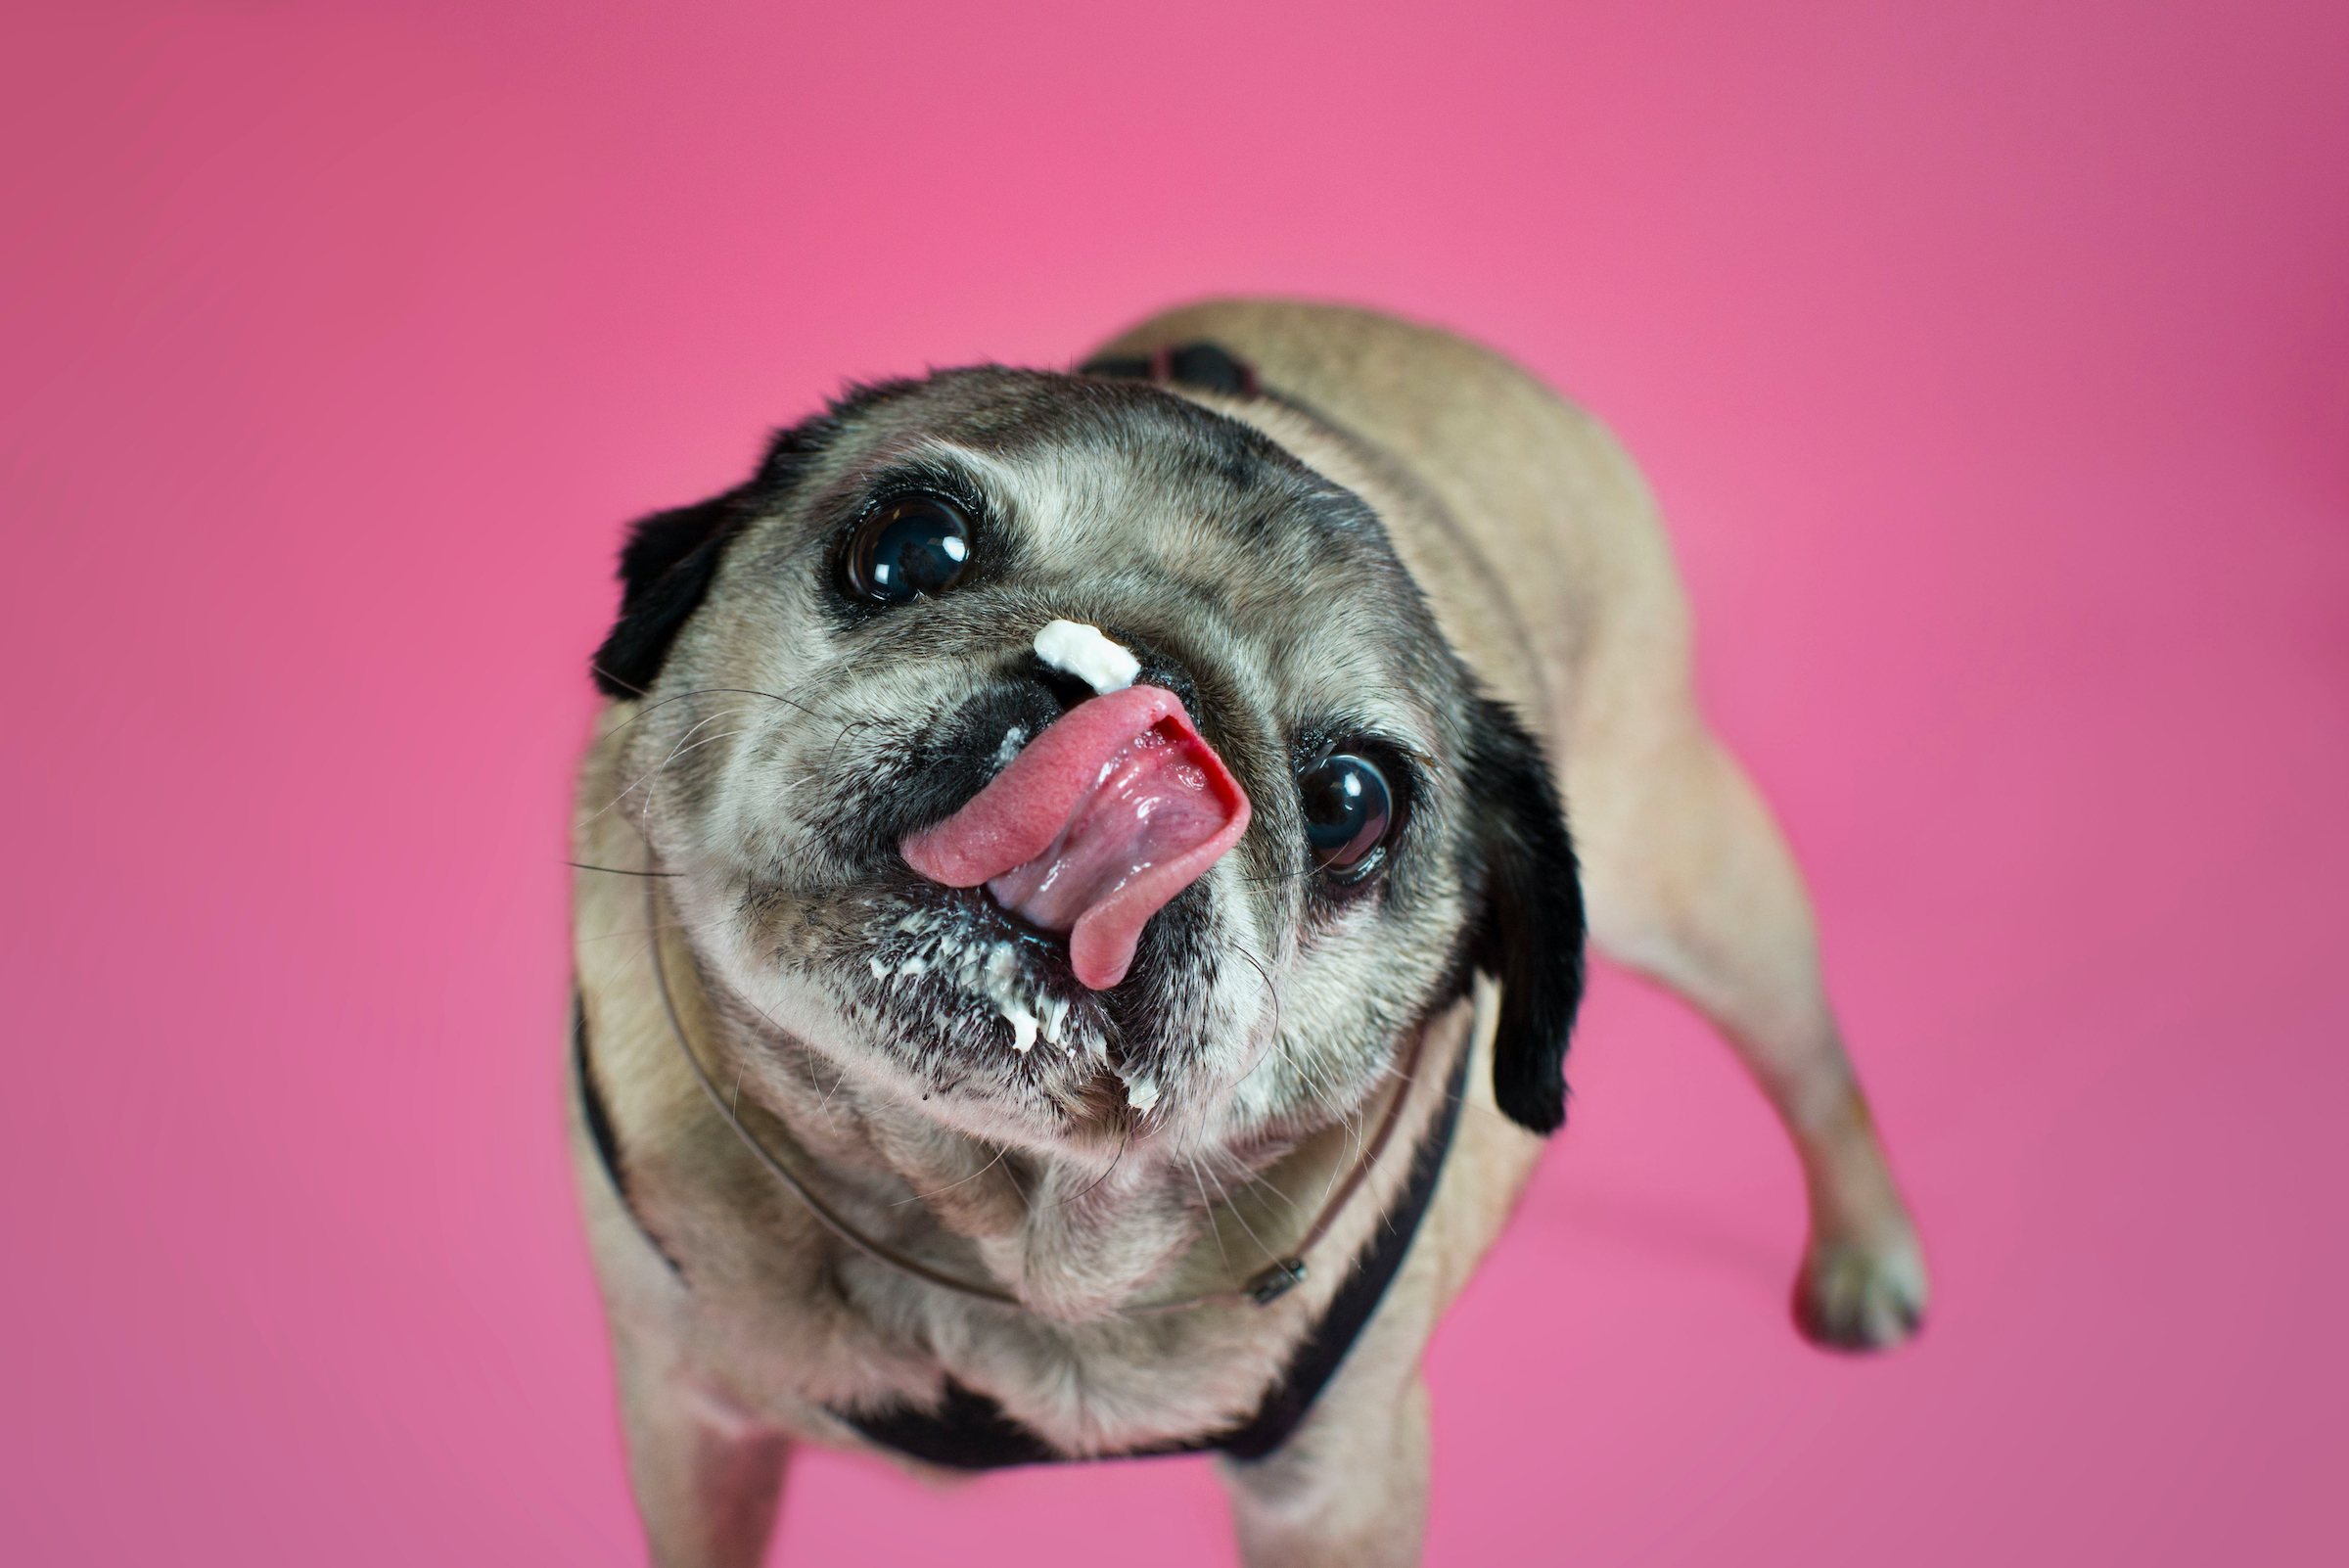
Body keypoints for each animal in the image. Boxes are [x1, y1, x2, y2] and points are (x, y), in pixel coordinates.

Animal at [568, 297, 1926, 1568]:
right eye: (906, 549)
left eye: (1350, 804)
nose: (1136, 687)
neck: (954, 1216)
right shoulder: (684, 1418)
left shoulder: (1338, 1485)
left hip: (1708, 890)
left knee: (1814, 1068)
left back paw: (1870, 1259)